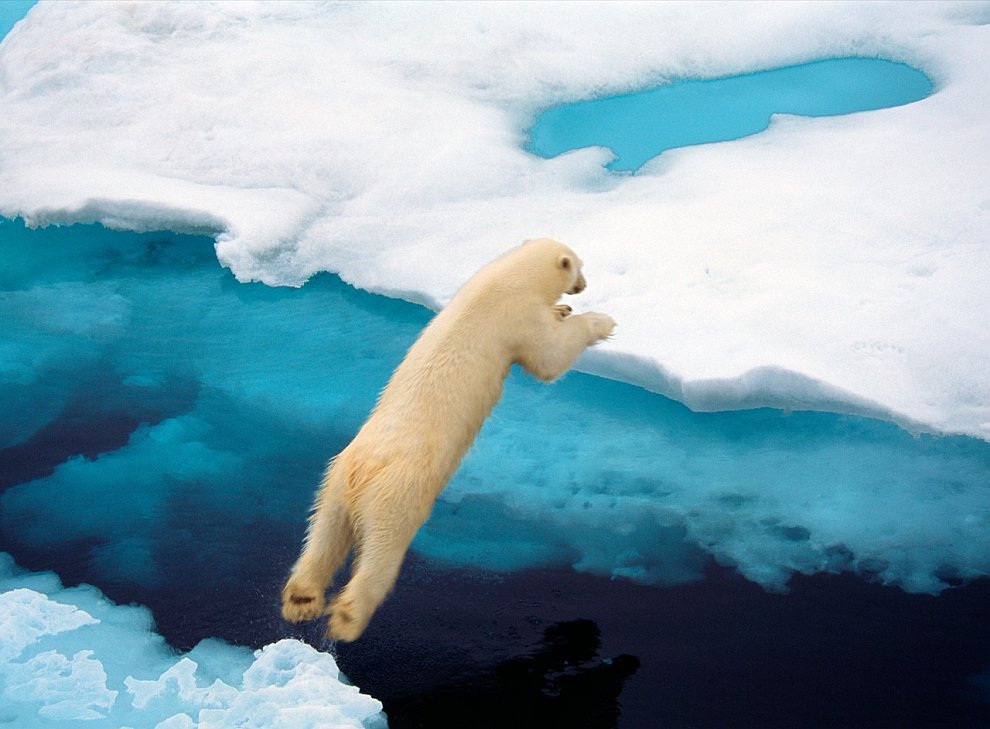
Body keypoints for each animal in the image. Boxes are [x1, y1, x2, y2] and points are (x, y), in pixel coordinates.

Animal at [282, 237, 616, 636]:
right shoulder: (518, 317)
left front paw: (563, 309)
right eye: (579, 266)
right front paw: (601, 322)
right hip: (397, 494)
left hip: (333, 483)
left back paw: (301, 599)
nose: (582, 285)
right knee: (381, 551)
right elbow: (549, 358)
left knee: (323, 536)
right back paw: (347, 618)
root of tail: (363, 474)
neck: (507, 276)